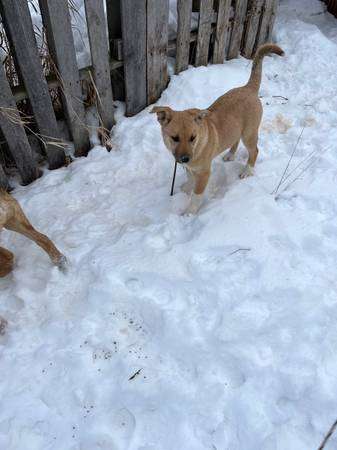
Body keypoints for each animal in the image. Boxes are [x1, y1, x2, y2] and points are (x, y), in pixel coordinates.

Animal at [152, 42, 284, 214]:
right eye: (174, 138)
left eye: (193, 138)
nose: (185, 159)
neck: (198, 145)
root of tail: (248, 88)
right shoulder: (191, 168)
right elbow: (190, 178)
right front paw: (186, 188)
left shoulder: (204, 173)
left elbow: (197, 195)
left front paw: (189, 213)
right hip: (236, 129)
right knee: (235, 141)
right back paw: (230, 155)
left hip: (249, 134)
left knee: (254, 151)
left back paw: (247, 171)